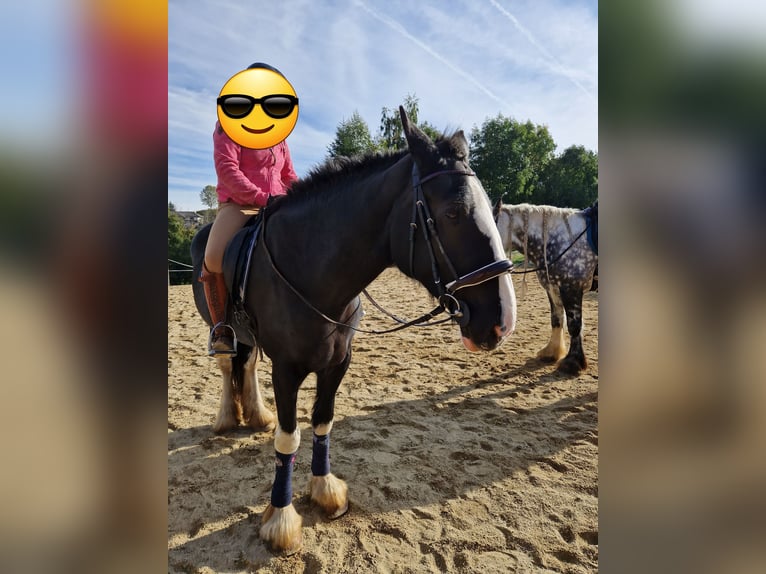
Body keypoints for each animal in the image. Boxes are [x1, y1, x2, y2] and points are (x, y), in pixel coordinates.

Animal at [189, 108, 520, 560]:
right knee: (228, 366)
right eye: (453, 212)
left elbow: (323, 423)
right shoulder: (287, 369)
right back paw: (227, 417)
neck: (311, 269)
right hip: (219, 327)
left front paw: (325, 491)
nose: (502, 319)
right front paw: (281, 521)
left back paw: (254, 413)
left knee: (248, 364)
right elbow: (289, 438)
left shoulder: (337, 363)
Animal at [496, 202, 596, 378]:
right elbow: (556, 320)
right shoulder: (553, 288)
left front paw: (573, 363)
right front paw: (552, 352)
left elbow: (574, 325)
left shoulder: (571, 289)